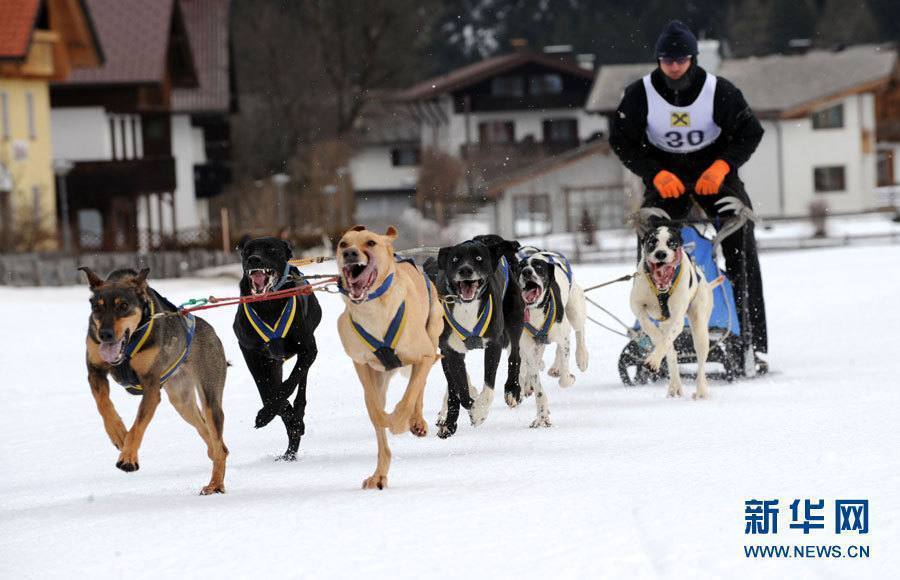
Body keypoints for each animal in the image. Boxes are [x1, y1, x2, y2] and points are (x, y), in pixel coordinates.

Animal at [79, 268, 230, 494]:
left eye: (123, 306)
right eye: (97, 307)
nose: (104, 334)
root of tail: (210, 330)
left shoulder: (151, 386)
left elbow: (138, 426)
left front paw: (128, 456)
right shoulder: (95, 371)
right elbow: (103, 405)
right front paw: (118, 434)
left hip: (210, 399)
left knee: (218, 443)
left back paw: (215, 484)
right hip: (181, 402)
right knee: (211, 438)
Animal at [334, 227, 442, 490]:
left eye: (371, 243)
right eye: (343, 244)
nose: (350, 253)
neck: (374, 309)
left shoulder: (424, 355)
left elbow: (408, 398)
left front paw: (400, 421)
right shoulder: (361, 364)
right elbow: (375, 409)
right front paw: (384, 418)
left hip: (432, 335)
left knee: (419, 387)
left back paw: (416, 421)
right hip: (381, 376)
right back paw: (379, 474)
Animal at [426, 233, 524, 438]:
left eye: (479, 258)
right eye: (455, 259)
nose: (465, 270)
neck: (466, 307)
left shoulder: (494, 344)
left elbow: (488, 386)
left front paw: (479, 412)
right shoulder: (451, 352)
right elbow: (460, 390)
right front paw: (465, 410)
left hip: (514, 321)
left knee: (515, 356)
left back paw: (512, 390)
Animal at [512, 245, 592, 426]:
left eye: (538, 267)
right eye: (520, 267)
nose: (526, 272)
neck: (535, 312)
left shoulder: (563, 339)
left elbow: (565, 379)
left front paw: (568, 377)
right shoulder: (528, 349)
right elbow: (538, 386)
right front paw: (542, 417)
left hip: (574, 310)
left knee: (579, 331)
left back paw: (581, 358)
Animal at [636, 223, 712, 398]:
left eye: (672, 243)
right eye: (652, 242)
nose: (661, 253)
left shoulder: (677, 319)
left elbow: (666, 339)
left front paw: (653, 360)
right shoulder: (637, 306)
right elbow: (652, 330)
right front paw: (657, 348)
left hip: (700, 328)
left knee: (701, 362)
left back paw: (701, 390)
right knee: (671, 353)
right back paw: (674, 385)